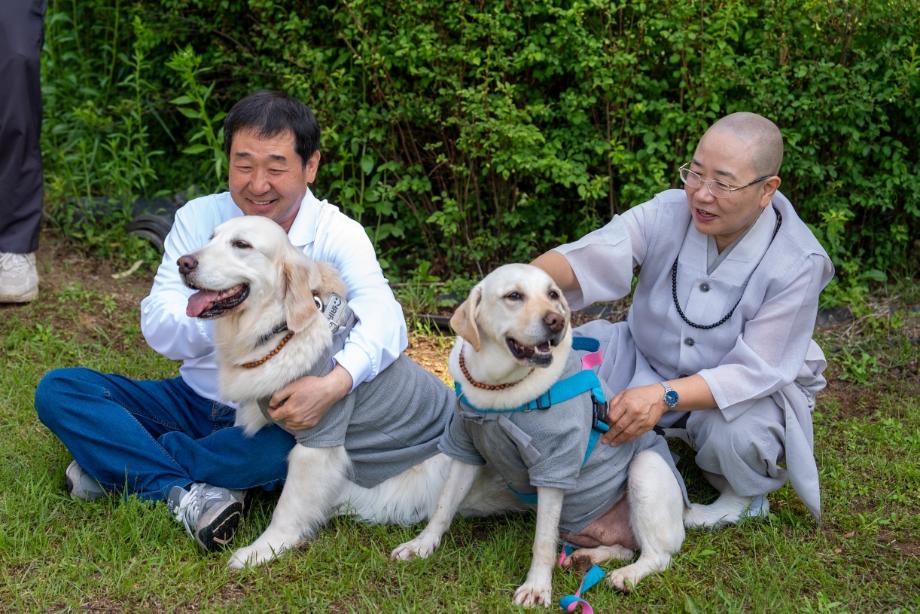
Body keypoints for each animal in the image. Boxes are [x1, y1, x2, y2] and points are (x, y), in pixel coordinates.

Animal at [176, 218, 520, 572]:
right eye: (211, 238)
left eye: (241, 244)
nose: (183, 263)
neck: (279, 329)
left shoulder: (318, 439)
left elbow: (288, 507)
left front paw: (262, 550)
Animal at [392, 264, 688, 608]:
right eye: (514, 296)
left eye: (553, 294)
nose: (556, 320)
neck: (499, 391)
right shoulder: (464, 447)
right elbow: (443, 507)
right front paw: (421, 545)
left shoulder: (554, 467)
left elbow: (543, 541)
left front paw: (536, 587)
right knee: (626, 547)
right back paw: (588, 558)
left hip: (646, 467)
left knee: (658, 556)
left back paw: (627, 576)